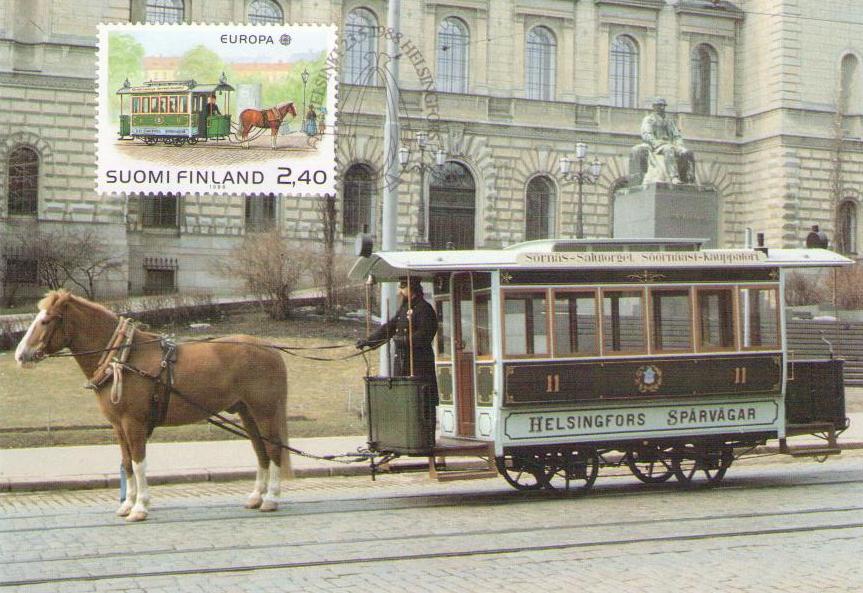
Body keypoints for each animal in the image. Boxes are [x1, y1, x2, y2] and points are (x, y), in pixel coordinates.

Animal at [13, 290, 294, 520]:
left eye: (46, 320)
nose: (20, 355)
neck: (124, 357)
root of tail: (269, 348)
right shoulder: (119, 426)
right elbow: (127, 463)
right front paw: (127, 505)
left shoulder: (134, 423)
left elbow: (139, 463)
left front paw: (139, 507)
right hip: (247, 413)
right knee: (260, 451)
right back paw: (256, 497)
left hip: (265, 412)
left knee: (273, 449)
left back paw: (271, 499)